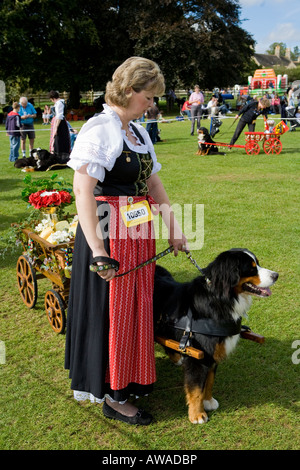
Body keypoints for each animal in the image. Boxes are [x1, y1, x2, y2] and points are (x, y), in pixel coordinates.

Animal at [155, 248, 278, 424]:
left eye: (258, 263)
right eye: (251, 268)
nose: (276, 275)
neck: (220, 299)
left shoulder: (213, 352)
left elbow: (210, 380)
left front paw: (208, 401)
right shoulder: (198, 355)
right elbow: (196, 388)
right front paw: (197, 414)